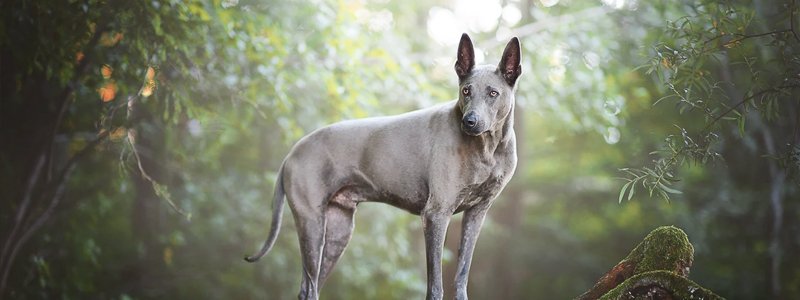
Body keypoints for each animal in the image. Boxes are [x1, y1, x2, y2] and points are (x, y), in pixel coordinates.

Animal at [247, 33, 520, 300]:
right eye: (465, 91)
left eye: (493, 93)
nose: (469, 121)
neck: (487, 148)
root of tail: (291, 153)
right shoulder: (436, 215)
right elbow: (435, 285)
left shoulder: (476, 214)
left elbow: (462, 275)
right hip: (311, 224)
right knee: (310, 287)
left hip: (338, 231)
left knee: (309, 286)